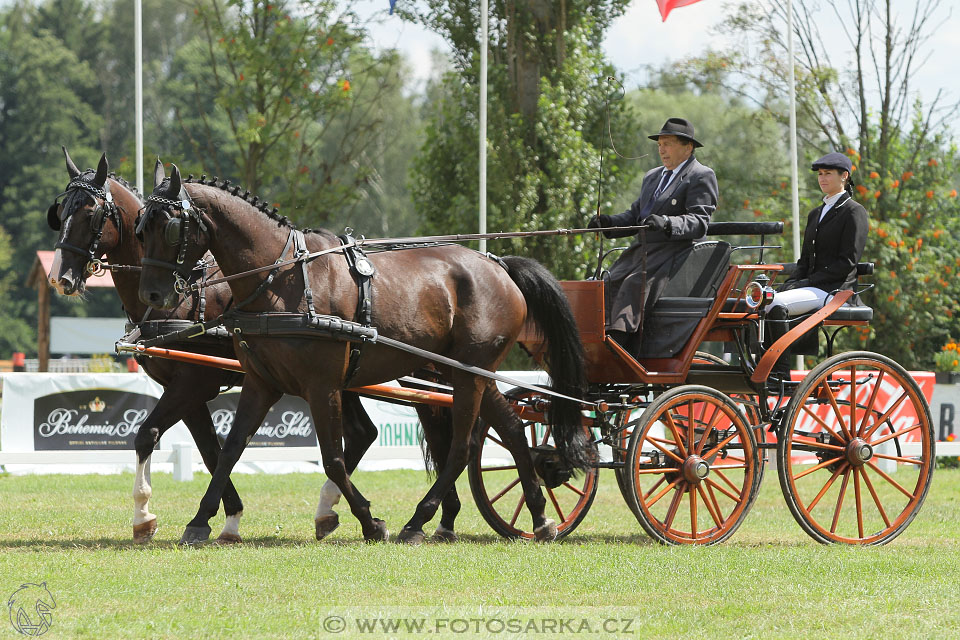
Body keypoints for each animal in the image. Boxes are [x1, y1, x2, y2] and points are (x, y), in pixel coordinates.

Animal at [47, 152, 460, 544]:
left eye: (90, 214)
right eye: (60, 213)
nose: (59, 278)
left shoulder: (195, 383)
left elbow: (151, 435)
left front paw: (147, 516)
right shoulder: (191, 389)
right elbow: (212, 451)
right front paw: (223, 517)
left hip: (421, 373)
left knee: (446, 433)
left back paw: (434, 516)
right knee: (367, 433)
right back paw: (340, 511)